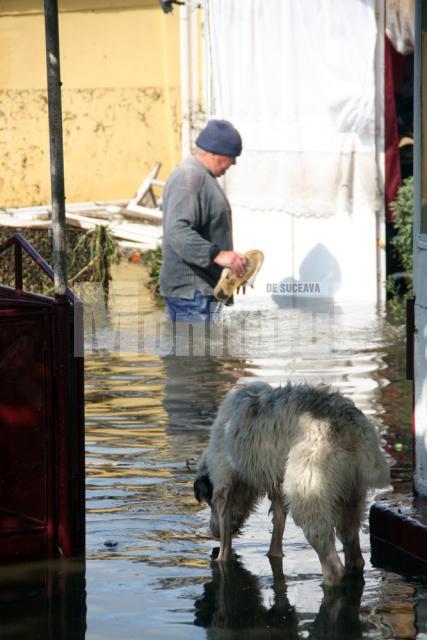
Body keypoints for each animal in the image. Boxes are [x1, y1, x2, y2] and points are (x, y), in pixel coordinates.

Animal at [194, 382, 392, 588]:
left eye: (208, 502)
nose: (213, 532)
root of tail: (350, 428)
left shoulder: (223, 481)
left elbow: (225, 540)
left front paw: (220, 559)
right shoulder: (277, 488)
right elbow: (277, 528)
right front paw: (273, 552)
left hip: (308, 494)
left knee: (333, 566)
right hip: (351, 497)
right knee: (354, 554)